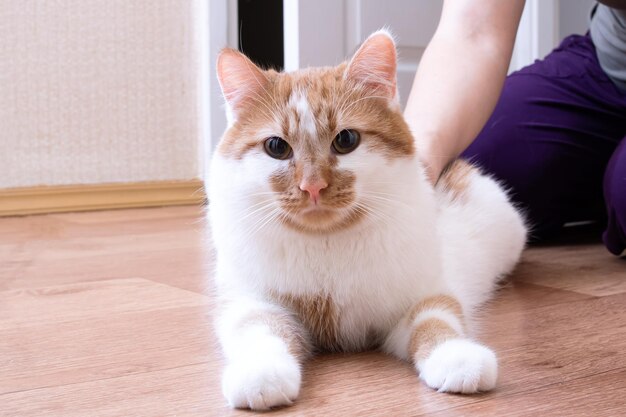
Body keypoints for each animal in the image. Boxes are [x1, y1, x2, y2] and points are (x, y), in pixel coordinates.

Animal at [207, 30, 524, 410]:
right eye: (276, 147)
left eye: (346, 140)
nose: (313, 186)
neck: (326, 244)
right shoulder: (251, 302)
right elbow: (262, 332)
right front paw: (260, 372)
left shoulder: (424, 295)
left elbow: (436, 322)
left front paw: (457, 357)